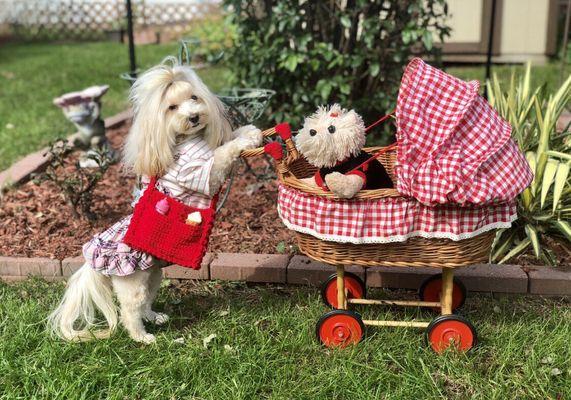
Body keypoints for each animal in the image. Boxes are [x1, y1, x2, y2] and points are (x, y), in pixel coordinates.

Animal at [49, 57, 264, 342]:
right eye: (171, 107)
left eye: (194, 97)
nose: (194, 117)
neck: (186, 139)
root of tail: (94, 262)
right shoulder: (203, 172)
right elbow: (222, 153)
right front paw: (243, 140)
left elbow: (224, 139)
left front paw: (248, 131)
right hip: (133, 282)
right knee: (130, 311)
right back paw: (142, 337)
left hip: (153, 274)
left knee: (146, 303)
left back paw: (154, 317)